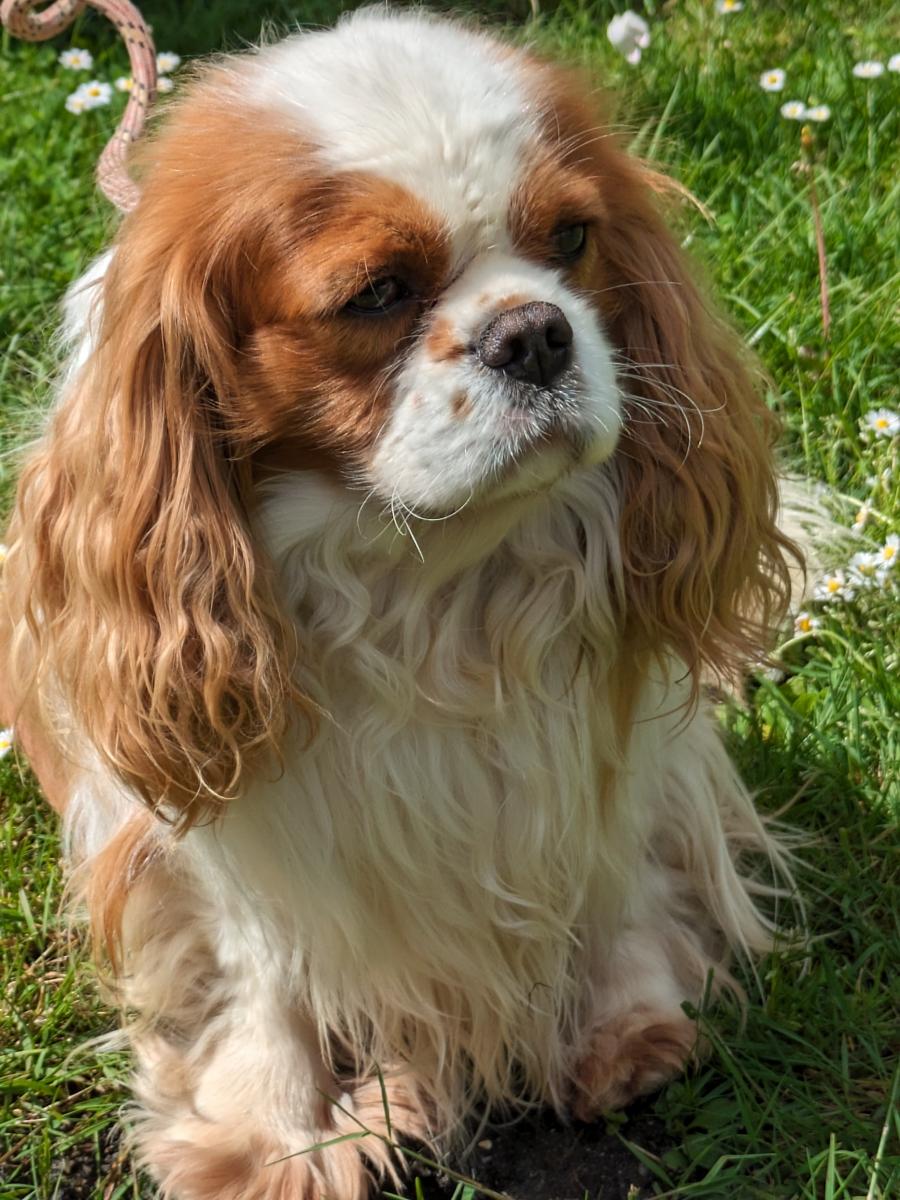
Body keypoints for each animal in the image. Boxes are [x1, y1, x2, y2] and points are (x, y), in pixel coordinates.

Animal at [1, 11, 801, 1200]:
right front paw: (278, 1137)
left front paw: (623, 1025)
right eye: (376, 294)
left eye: (572, 238)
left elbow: (611, 874)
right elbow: (261, 973)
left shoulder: (601, 760)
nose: (535, 332)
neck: (426, 580)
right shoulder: (208, 840)